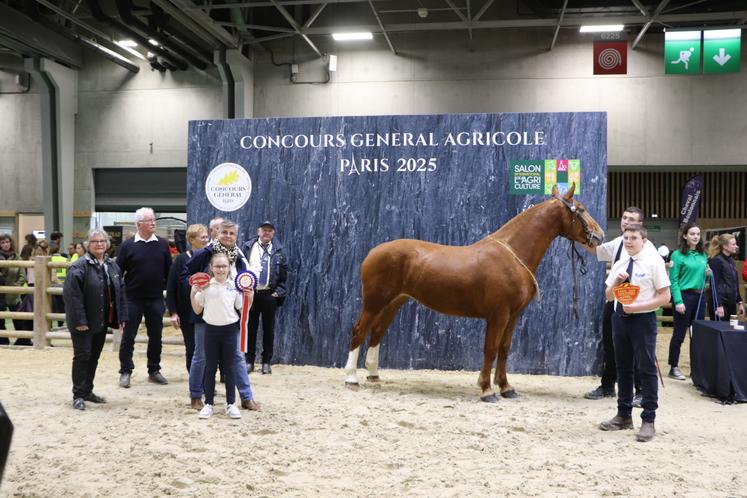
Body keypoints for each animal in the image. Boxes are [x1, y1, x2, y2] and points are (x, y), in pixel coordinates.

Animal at [344, 185, 608, 402]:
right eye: (581, 209)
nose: (600, 235)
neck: (512, 253)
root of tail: (373, 252)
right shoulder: (498, 315)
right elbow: (490, 349)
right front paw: (487, 390)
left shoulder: (513, 316)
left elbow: (504, 349)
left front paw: (506, 388)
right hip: (374, 302)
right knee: (359, 331)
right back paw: (351, 378)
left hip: (394, 302)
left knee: (378, 331)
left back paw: (374, 374)